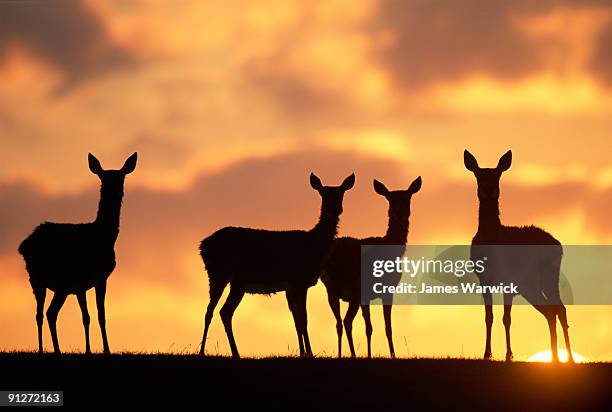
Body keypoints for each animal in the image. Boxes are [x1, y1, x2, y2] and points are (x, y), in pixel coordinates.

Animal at [19, 153, 137, 352]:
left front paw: (92, 349)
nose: (116, 192)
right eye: (103, 178)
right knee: (49, 312)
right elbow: (96, 316)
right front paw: (103, 350)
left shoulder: (83, 283)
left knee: (43, 314)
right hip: (58, 281)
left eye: (121, 177)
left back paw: (47, 350)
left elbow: (91, 316)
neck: (104, 236)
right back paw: (54, 349)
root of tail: (24, 246)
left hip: (39, 281)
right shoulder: (95, 277)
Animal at [200, 172, 354, 356]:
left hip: (234, 282)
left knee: (220, 311)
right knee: (214, 311)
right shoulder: (299, 281)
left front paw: (302, 353)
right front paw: (310, 353)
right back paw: (208, 352)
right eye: (323, 194)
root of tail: (202, 246)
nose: (335, 209)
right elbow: (304, 319)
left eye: (341, 194)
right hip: (219, 273)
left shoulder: (292, 286)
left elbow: (297, 321)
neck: (314, 244)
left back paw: (230, 353)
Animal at [320, 177, 420, 358]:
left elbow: (385, 327)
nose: (400, 213)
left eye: (408, 198)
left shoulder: (383, 291)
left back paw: (347, 354)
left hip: (336, 292)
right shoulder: (371, 291)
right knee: (345, 321)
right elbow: (373, 327)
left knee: (342, 322)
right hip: (348, 290)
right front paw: (372, 355)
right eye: (390, 199)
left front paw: (390, 354)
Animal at [466, 150, 572, 362]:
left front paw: (509, 355)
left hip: (547, 277)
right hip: (532, 285)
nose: (489, 190)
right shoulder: (484, 280)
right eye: (479, 175)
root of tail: (558, 245)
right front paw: (487, 354)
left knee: (558, 309)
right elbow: (489, 317)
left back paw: (567, 358)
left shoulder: (508, 280)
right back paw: (556, 357)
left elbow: (506, 318)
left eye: (497, 175)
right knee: (552, 310)